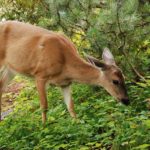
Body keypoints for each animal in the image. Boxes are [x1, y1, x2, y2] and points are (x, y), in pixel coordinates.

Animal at [0, 20, 129, 123]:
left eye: (124, 77)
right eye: (115, 81)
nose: (126, 100)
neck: (65, 64)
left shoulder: (65, 83)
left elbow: (70, 106)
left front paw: (77, 124)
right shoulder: (40, 75)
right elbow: (44, 106)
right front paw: (44, 126)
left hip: (9, 70)